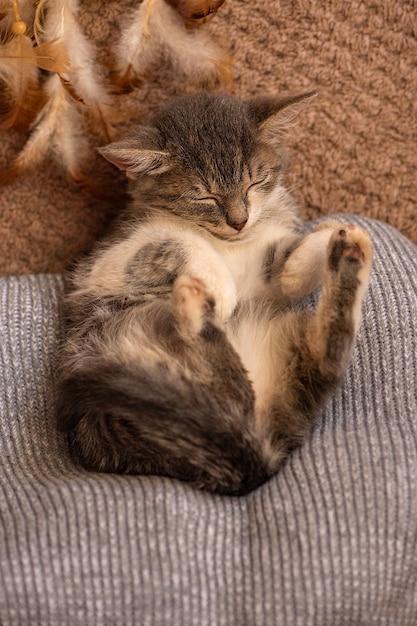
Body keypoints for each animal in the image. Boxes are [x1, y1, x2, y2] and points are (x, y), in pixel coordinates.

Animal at [57, 91, 372, 492]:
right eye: (203, 197)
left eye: (255, 182)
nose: (238, 221)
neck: (229, 243)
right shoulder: (103, 263)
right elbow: (176, 240)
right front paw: (221, 290)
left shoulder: (265, 273)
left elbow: (286, 273)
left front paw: (323, 239)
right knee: (232, 390)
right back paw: (196, 308)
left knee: (317, 357)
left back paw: (351, 252)